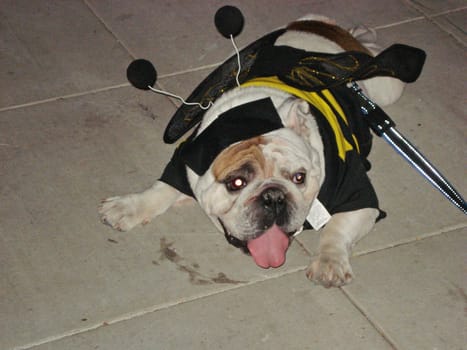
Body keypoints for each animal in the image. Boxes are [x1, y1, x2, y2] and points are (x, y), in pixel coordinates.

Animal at [99, 14, 406, 288]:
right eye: (236, 183)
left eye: (299, 178)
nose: (274, 197)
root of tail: (317, 26)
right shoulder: (187, 160)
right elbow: (161, 188)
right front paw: (129, 206)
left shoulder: (359, 199)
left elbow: (337, 228)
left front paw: (329, 262)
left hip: (385, 86)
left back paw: (367, 35)